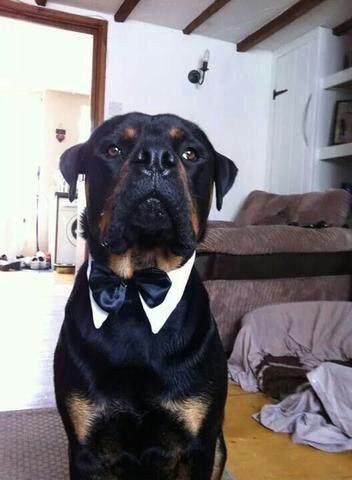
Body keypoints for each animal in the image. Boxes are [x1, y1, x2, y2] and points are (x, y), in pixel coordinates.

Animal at [54, 113, 236, 480]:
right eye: (113, 149)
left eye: (191, 154)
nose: (155, 158)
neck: (137, 289)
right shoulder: (84, 447)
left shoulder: (200, 444)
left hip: (221, 445)